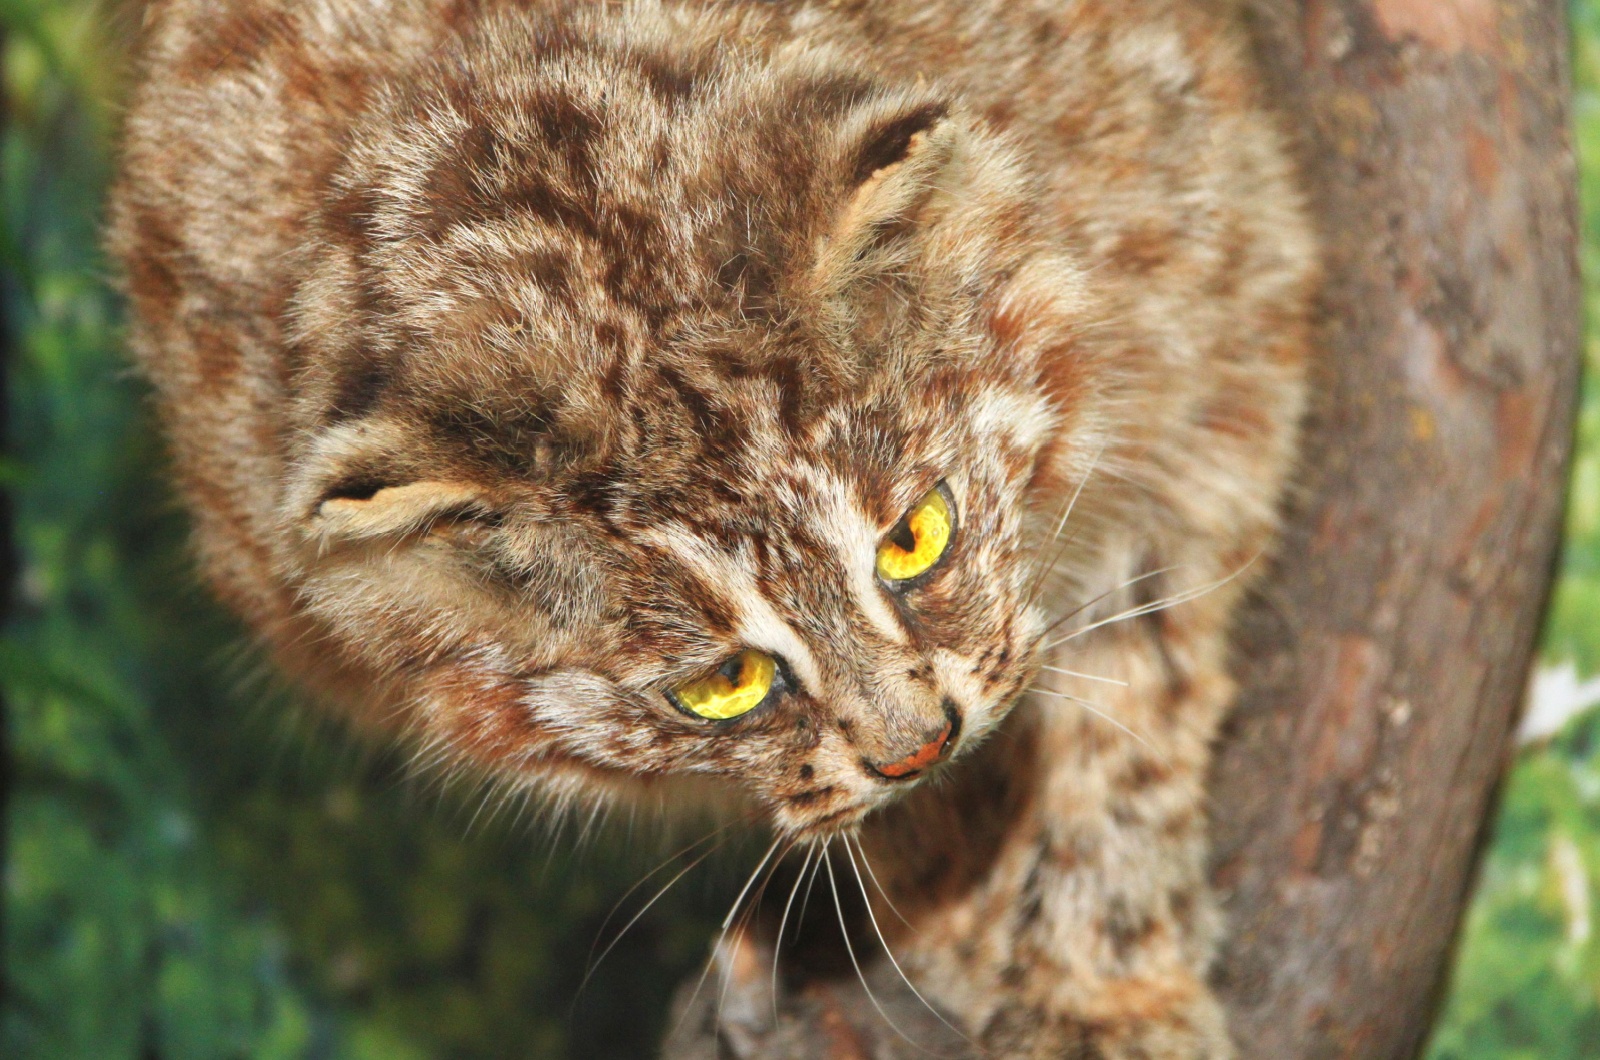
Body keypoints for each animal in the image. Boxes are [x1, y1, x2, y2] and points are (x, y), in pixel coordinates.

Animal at [109, 4, 1312, 1056]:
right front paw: (956, 887)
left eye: (914, 538)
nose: (920, 745)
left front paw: (1102, 993)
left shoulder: (1218, 332)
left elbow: (1132, 697)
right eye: (724, 683)